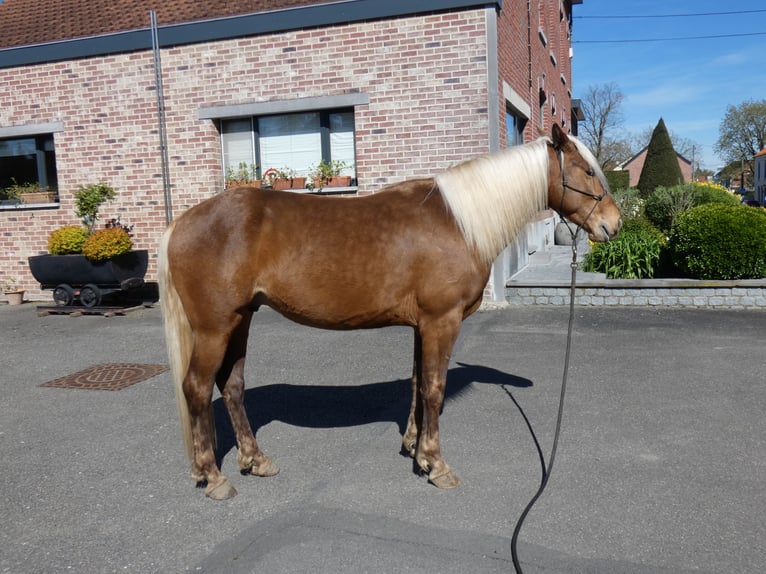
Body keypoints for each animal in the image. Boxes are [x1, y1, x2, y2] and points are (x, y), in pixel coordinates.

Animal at [158, 124, 622, 499]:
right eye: (585, 171)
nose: (613, 225)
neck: (459, 222)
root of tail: (181, 222)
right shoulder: (441, 321)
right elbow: (434, 388)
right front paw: (437, 465)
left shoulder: (422, 325)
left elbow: (418, 383)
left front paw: (416, 451)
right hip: (215, 327)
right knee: (196, 388)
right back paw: (214, 477)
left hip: (241, 320)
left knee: (231, 386)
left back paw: (256, 460)